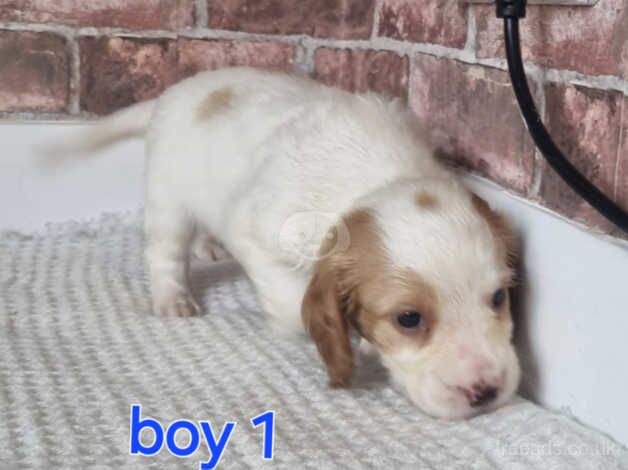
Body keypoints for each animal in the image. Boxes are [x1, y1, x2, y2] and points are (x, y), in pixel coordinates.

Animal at [54, 66, 524, 418]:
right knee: (165, 252)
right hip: (169, 198)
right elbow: (295, 308)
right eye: (408, 319)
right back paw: (173, 299)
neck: (381, 178)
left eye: (499, 297)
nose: (486, 392)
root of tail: (173, 91)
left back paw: (207, 247)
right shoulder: (259, 237)